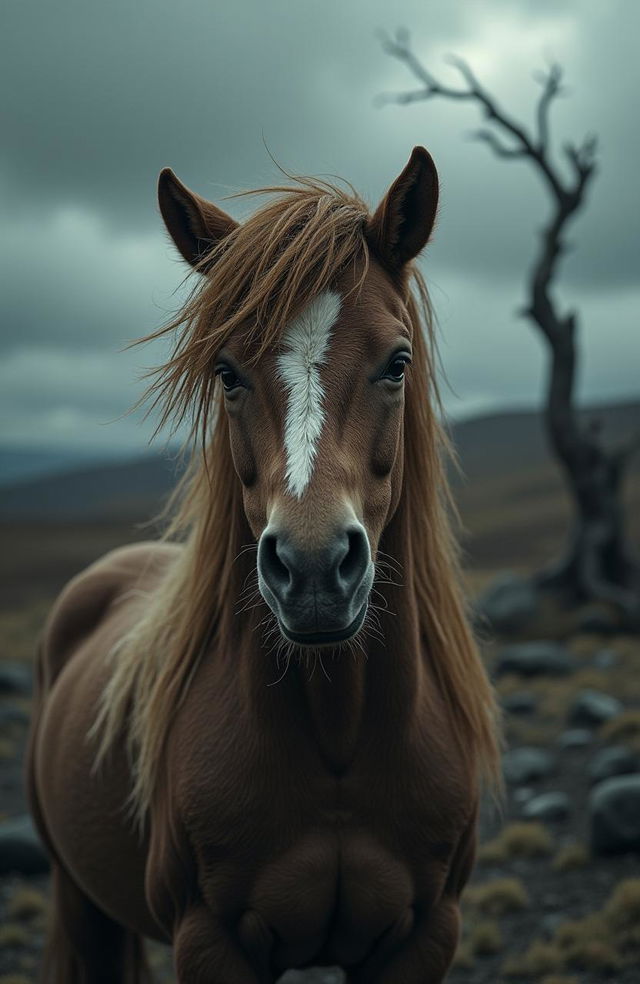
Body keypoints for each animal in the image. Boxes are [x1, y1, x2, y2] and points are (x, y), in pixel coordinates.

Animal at [27, 148, 500, 984]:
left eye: (397, 361)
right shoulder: (211, 942)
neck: (339, 738)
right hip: (78, 898)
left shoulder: (424, 936)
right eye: (226, 371)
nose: (312, 570)